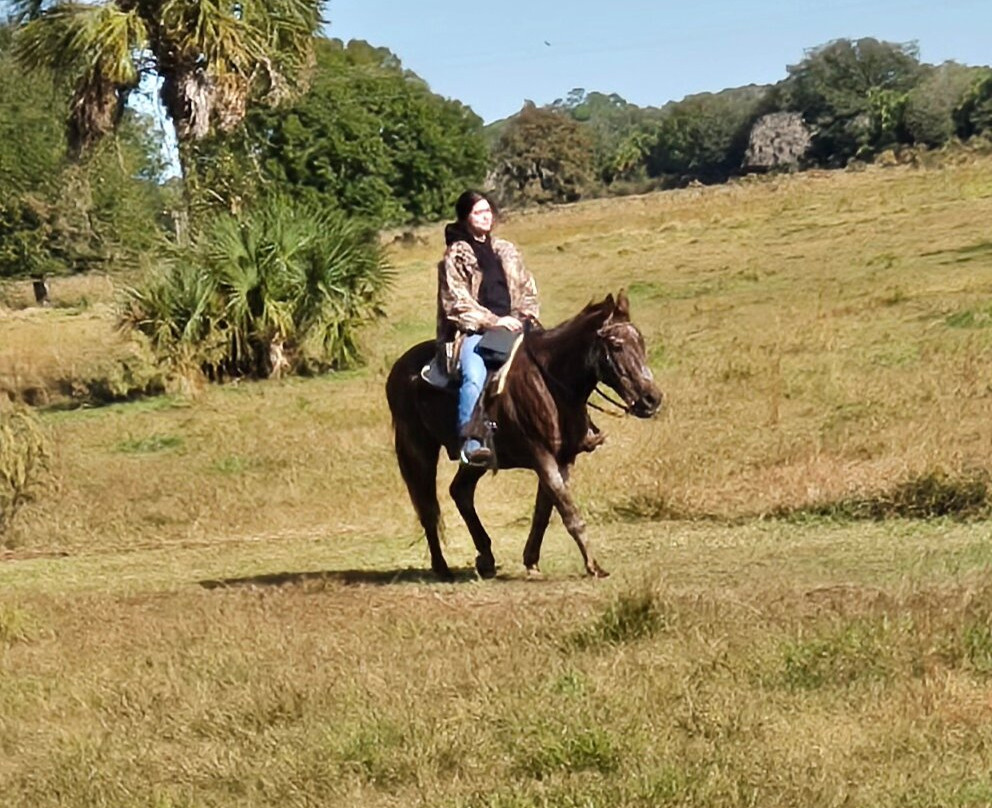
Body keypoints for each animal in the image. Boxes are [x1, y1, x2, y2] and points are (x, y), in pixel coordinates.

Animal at [385, 291, 663, 580]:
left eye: (640, 342)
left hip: (477, 458)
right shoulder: (541, 455)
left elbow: (544, 511)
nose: (652, 399)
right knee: (428, 507)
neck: (549, 383)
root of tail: (399, 368)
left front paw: (532, 561)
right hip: (417, 449)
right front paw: (594, 566)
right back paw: (442, 568)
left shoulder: (563, 459)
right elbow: (569, 512)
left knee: (460, 491)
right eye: (616, 345)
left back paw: (486, 558)